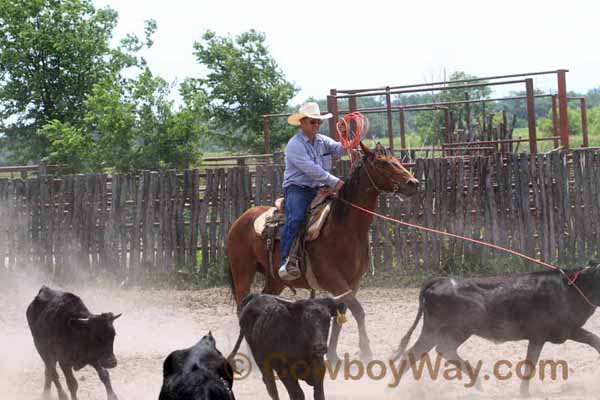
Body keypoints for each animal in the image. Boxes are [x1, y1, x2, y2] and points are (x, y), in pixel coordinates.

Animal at [225, 142, 418, 360]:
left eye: (396, 160)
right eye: (383, 163)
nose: (413, 183)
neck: (344, 228)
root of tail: (241, 219)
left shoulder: (352, 283)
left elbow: (341, 314)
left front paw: (333, 355)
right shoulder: (333, 280)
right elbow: (358, 311)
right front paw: (366, 351)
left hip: (275, 280)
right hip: (242, 272)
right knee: (242, 307)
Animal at [390, 262, 600, 396]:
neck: (571, 289)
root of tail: (440, 281)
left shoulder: (568, 330)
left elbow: (595, 340)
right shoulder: (541, 335)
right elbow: (530, 364)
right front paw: (524, 393)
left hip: (439, 331)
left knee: (428, 352)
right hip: (452, 329)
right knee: (427, 352)